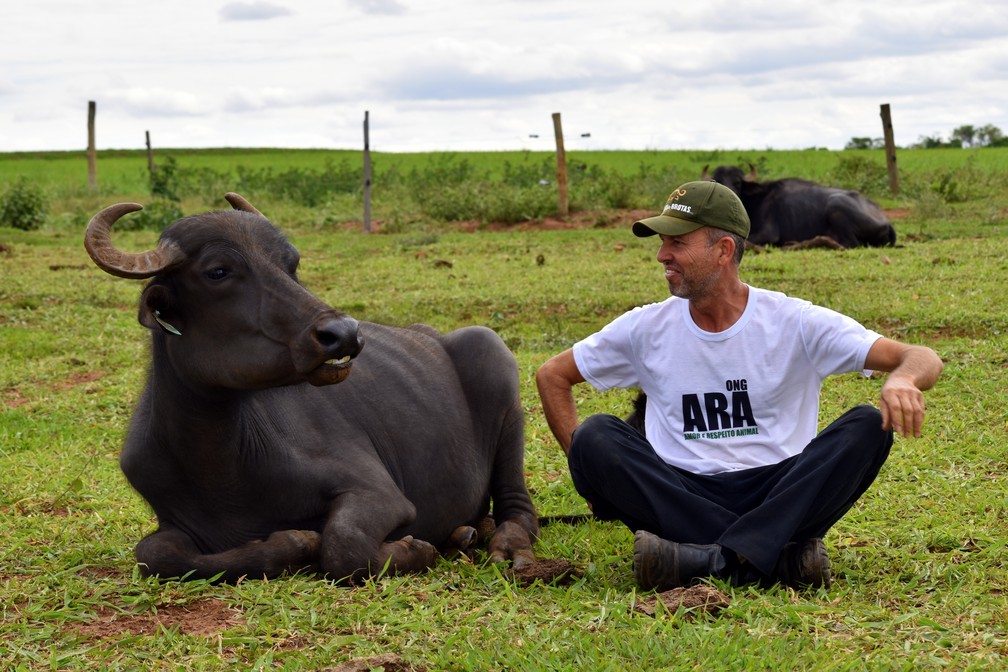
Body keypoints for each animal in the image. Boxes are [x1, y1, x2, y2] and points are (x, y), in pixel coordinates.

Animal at [85, 194, 540, 584]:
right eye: (218, 271)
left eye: (292, 264)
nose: (344, 333)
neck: (224, 464)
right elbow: (153, 553)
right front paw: (295, 543)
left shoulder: (379, 492)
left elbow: (343, 544)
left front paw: (415, 549)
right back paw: (464, 533)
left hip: (499, 373)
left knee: (518, 504)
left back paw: (506, 545)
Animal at [701, 163, 899, 249]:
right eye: (717, 180)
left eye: (737, 182)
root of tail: (886, 220)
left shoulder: (768, 234)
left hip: (836, 205)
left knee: (849, 244)